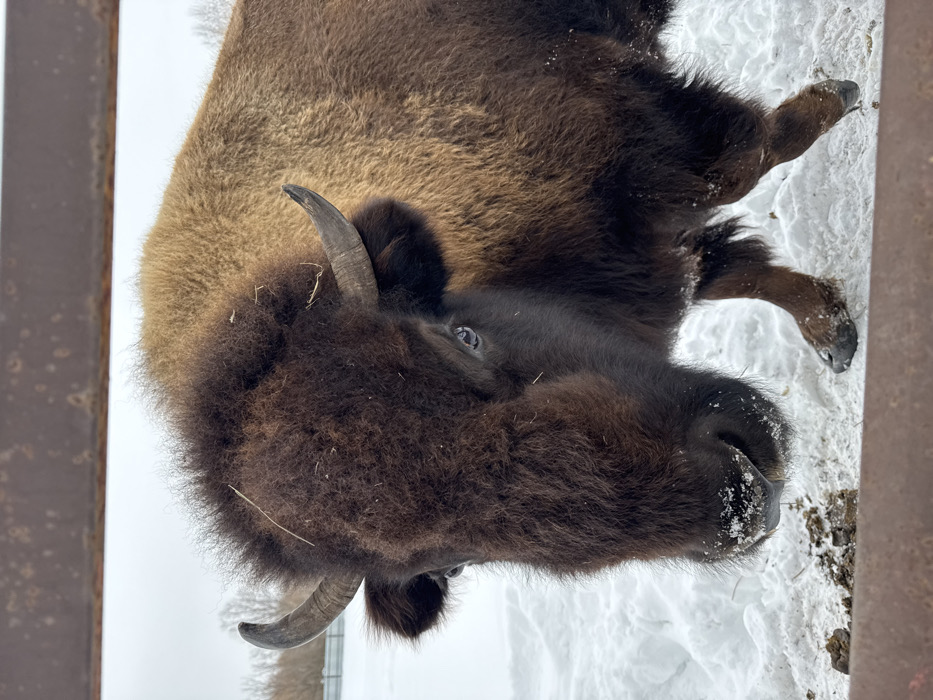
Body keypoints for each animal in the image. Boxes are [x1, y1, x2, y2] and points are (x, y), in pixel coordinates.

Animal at [139, 0, 859, 648]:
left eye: (463, 337)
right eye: (456, 560)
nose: (742, 494)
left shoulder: (638, 129)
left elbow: (753, 157)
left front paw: (841, 95)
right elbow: (733, 261)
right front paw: (832, 334)